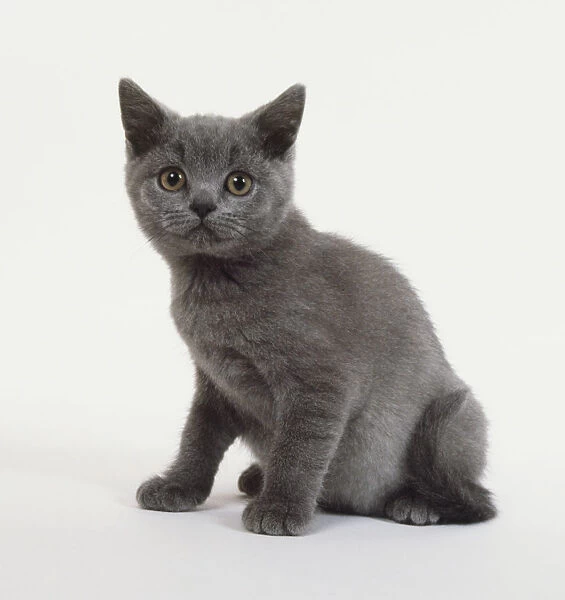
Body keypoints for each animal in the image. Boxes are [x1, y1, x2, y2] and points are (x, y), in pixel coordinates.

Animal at [118, 78, 494, 536]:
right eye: (172, 178)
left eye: (239, 183)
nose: (203, 205)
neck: (216, 285)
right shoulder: (216, 380)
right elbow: (198, 435)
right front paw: (179, 486)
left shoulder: (321, 381)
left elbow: (300, 447)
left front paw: (280, 508)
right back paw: (256, 476)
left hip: (459, 416)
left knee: (471, 497)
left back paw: (415, 503)